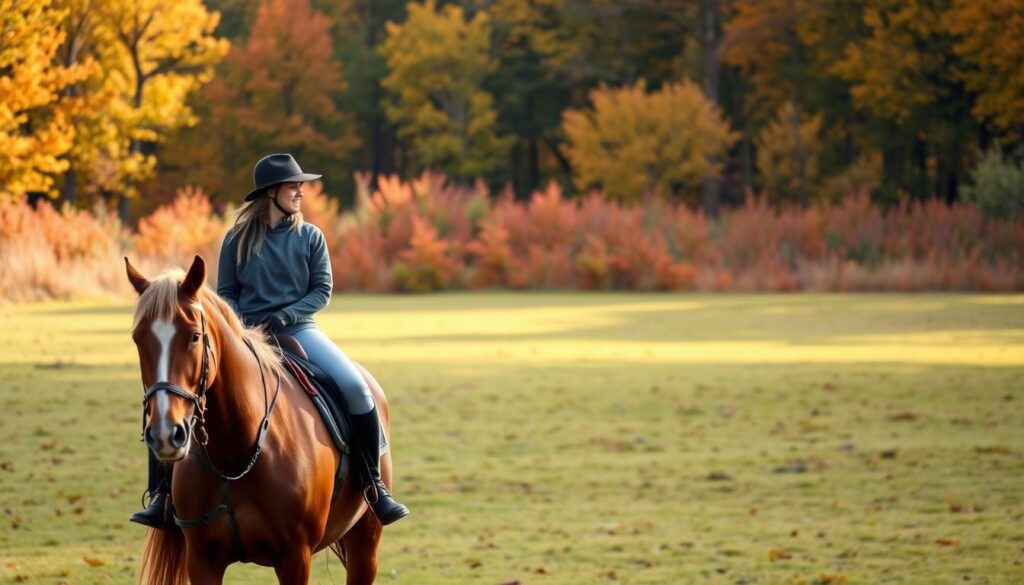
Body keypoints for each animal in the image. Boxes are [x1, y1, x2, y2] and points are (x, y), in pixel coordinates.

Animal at [126, 257, 395, 585]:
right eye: (137, 338)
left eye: (194, 336)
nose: (165, 434)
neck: (235, 455)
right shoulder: (201, 560)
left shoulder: (295, 558)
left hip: (365, 540)